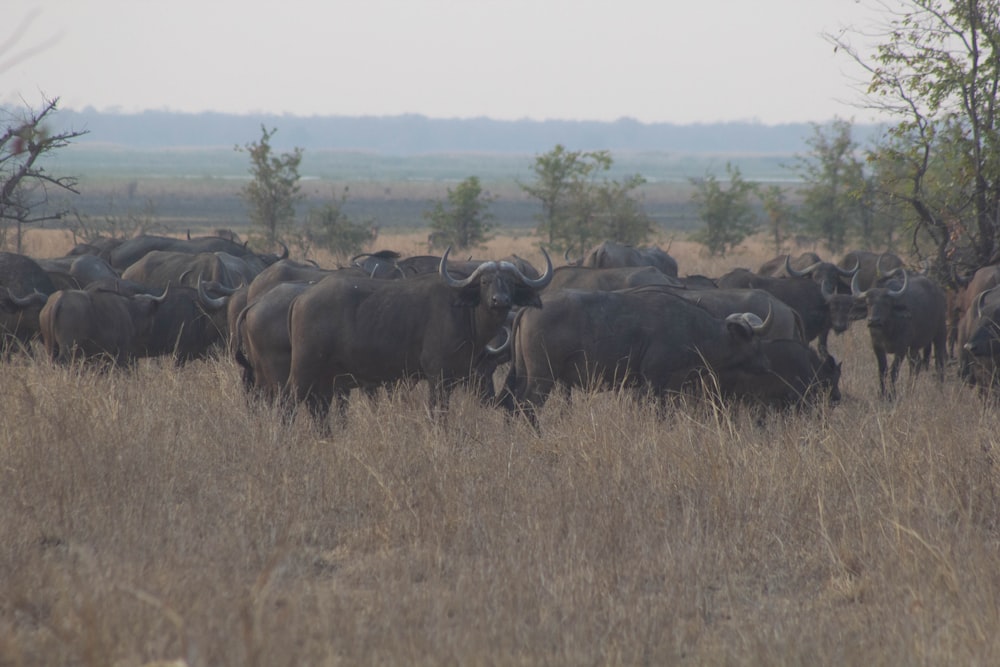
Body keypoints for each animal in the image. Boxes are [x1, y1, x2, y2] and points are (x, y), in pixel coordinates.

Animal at [286, 248, 556, 426]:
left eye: (510, 282)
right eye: (485, 281)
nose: (500, 301)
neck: (464, 313)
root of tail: (301, 298)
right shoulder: (437, 376)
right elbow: (437, 412)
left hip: (326, 376)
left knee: (318, 408)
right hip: (304, 370)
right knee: (291, 401)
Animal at [852, 268, 944, 400]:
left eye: (886, 303)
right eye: (868, 303)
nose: (874, 321)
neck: (887, 330)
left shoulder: (901, 348)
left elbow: (893, 371)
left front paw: (892, 395)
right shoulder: (877, 347)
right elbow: (882, 370)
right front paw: (882, 394)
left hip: (940, 333)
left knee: (939, 362)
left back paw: (940, 389)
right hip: (913, 347)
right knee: (916, 364)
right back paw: (910, 390)